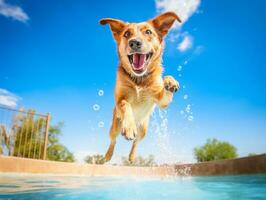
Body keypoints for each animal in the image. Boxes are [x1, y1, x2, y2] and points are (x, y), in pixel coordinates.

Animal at [99, 11, 181, 162]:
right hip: (114, 127)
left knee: (136, 141)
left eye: (148, 32)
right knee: (113, 140)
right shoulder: (119, 99)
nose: (134, 42)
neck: (139, 79)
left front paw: (170, 81)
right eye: (126, 34)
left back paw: (131, 157)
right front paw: (129, 126)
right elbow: (125, 104)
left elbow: (165, 91)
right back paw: (107, 155)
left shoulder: (161, 101)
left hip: (144, 129)